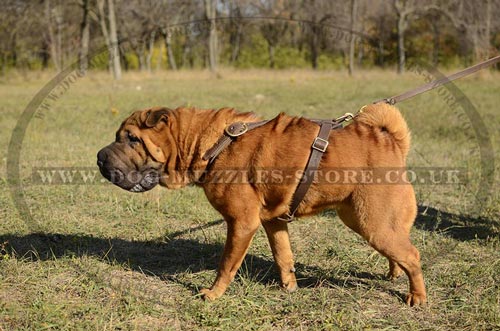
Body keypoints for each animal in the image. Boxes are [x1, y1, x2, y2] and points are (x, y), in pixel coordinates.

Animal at [96, 103, 426, 306]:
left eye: (133, 139)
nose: (99, 158)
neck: (208, 144)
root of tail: (392, 141)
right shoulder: (273, 222)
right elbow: (283, 256)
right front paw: (289, 287)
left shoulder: (242, 222)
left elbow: (227, 264)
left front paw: (213, 294)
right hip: (365, 220)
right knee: (399, 250)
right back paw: (394, 274)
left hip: (373, 223)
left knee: (412, 255)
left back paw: (417, 297)